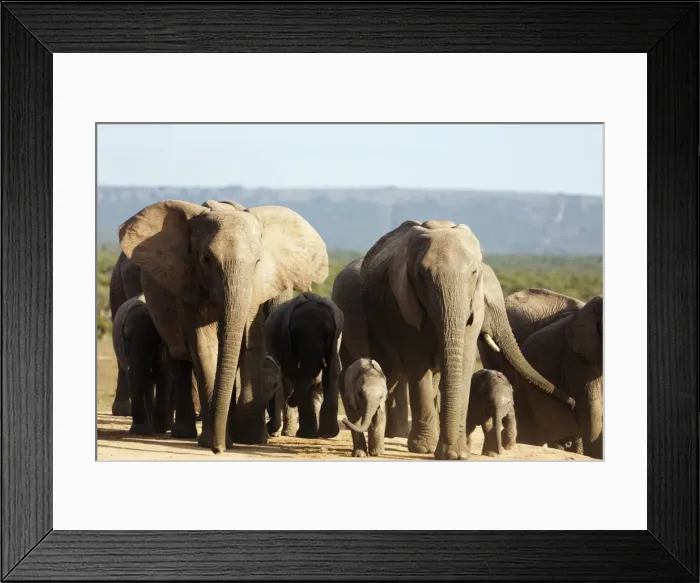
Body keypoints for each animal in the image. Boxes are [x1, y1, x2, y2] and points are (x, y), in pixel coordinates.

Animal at [112, 295, 173, 434]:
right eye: (128, 339)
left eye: (156, 341)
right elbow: (137, 378)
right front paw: (142, 430)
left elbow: (164, 377)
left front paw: (160, 428)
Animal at [119, 199, 328, 453]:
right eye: (206, 259)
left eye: (258, 262)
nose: (218, 450)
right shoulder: (188, 282)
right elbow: (204, 344)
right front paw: (213, 441)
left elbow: (251, 341)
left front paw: (250, 439)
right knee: (178, 359)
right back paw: (185, 433)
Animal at [264, 292, 343, 439]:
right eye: (295, 333)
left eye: (328, 333)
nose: (291, 401)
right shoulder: (284, 342)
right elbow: (295, 374)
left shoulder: (336, 339)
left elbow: (332, 372)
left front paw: (327, 434)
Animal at [360, 219, 575, 460]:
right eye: (420, 276)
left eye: (473, 273)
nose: (573, 403)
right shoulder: (401, 304)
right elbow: (418, 364)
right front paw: (425, 449)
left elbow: (462, 364)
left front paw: (457, 453)